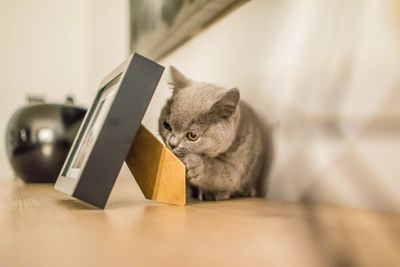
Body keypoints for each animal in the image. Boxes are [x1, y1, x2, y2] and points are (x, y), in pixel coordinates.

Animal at [159, 67, 266, 201]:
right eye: (166, 125)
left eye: (192, 136)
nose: (172, 143)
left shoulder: (238, 165)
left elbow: (219, 171)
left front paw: (196, 165)